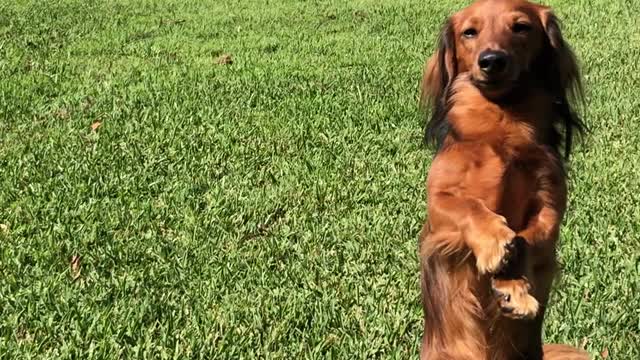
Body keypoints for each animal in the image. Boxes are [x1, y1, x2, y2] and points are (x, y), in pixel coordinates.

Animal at [420, 0, 592, 360]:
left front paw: (514, 287)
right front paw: (493, 240)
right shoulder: (438, 206)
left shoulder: (550, 210)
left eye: (521, 27)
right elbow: (469, 207)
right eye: (469, 32)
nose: (492, 60)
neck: (500, 128)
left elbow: (526, 240)